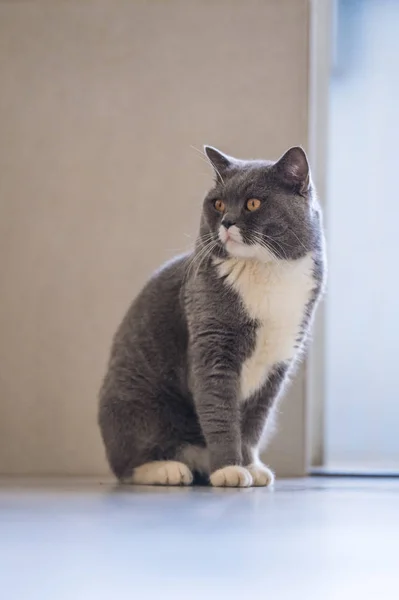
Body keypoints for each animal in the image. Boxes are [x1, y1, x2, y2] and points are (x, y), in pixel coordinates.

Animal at [98, 144, 326, 488]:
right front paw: (229, 469)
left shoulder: (279, 362)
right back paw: (167, 469)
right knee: (128, 463)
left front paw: (251, 466)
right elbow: (220, 413)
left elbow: (254, 422)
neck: (265, 271)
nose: (227, 221)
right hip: (137, 403)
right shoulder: (212, 346)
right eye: (217, 203)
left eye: (253, 203)